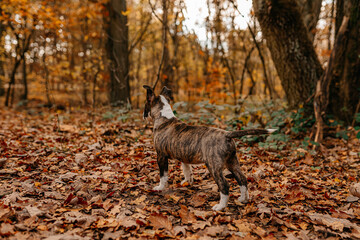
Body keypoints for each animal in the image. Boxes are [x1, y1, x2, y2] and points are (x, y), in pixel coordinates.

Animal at [143, 85, 276, 210]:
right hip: (232, 162)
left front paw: (160, 187)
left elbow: (163, 175)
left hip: (214, 166)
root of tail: (227, 134)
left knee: (224, 185)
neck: (164, 118)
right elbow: (187, 170)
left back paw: (220, 206)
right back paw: (243, 199)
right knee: (242, 179)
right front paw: (187, 182)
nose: (143, 116)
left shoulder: (161, 155)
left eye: (146, 104)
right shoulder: (184, 157)